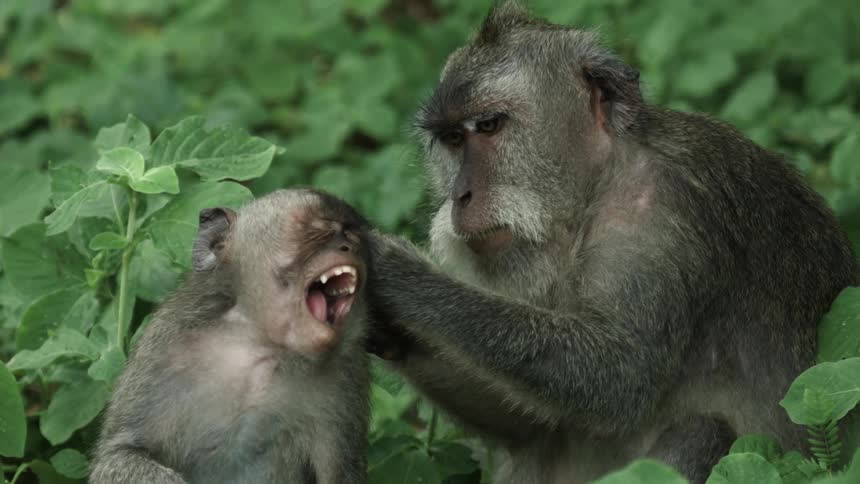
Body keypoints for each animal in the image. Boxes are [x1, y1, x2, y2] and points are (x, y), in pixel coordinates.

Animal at [90, 189, 372, 484]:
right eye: (320, 229)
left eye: (354, 236)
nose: (349, 248)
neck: (260, 346)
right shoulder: (163, 351)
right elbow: (119, 453)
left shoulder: (347, 372)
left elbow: (342, 475)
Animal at [365, 2, 860, 483]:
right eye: (452, 138)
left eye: (488, 125)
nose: (460, 196)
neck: (596, 187)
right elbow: (531, 423)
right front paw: (381, 326)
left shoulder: (658, 212)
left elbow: (621, 377)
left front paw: (397, 274)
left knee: (702, 429)